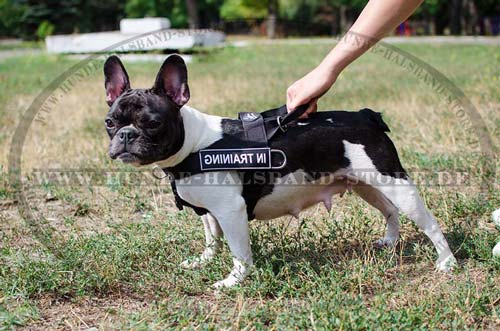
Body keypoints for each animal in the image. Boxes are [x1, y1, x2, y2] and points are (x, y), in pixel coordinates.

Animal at [104, 55, 458, 290]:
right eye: (109, 122)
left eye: (152, 123)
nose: (125, 135)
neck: (193, 143)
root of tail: (365, 115)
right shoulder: (209, 212)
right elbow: (212, 238)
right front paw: (204, 260)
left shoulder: (231, 211)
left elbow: (239, 252)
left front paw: (233, 281)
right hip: (366, 184)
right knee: (389, 210)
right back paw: (390, 241)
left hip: (395, 182)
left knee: (428, 221)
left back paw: (447, 262)